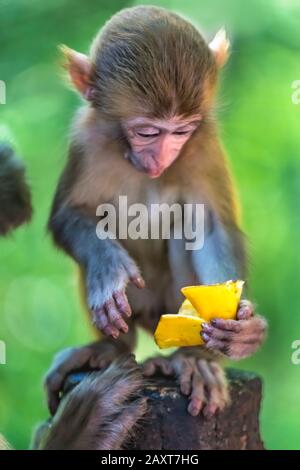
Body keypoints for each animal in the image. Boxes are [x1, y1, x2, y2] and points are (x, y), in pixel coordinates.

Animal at [44, 4, 264, 444]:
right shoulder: (85, 137)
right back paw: (109, 348)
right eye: (147, 131)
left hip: (167, 303)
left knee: (187, 226)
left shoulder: (204, 141)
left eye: (181, 130)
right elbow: (69, 216)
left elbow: (211, 227)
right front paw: (108, 268)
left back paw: (194, 357)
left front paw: (242, 328)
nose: (162, 157)